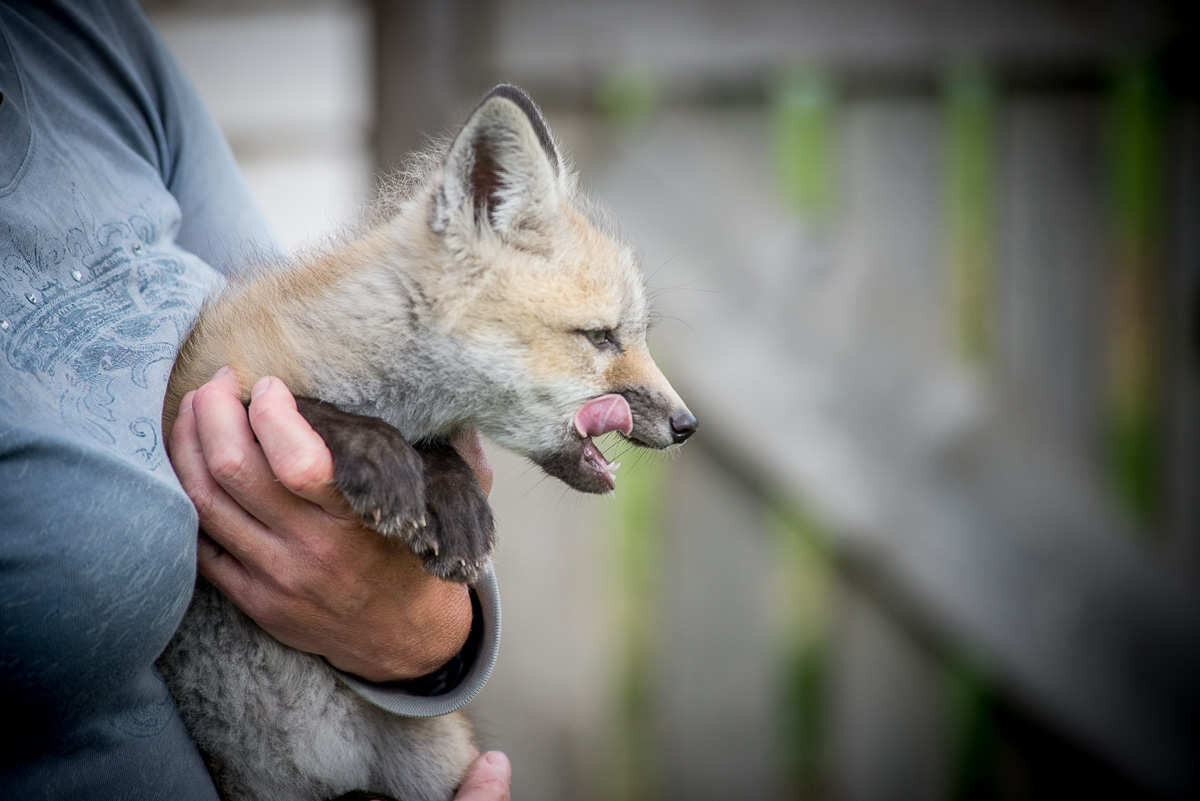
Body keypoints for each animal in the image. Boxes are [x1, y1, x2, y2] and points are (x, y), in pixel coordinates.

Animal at [160, 84, 700, 796]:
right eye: (601, 337)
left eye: (631, 335)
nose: (688, 424)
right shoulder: (193, 404)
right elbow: (308, 407)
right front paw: (387, 466)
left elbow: (440, 450)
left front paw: (459, 511)